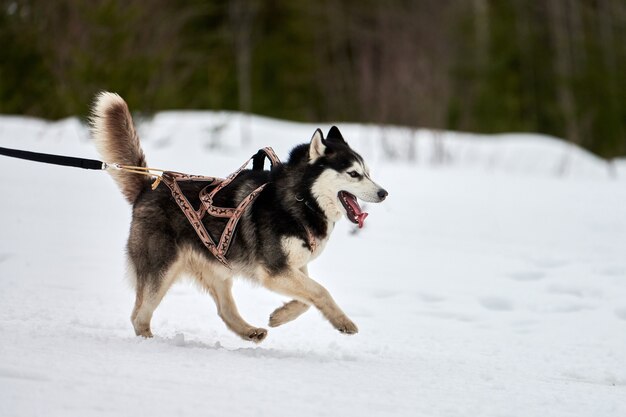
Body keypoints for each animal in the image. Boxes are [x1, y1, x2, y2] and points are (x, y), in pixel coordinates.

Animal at [89, 92, 386, 342]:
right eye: (353, 174)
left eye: (368, 172)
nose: (384, 193)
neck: (301, 199)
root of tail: (149, 185)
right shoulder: (275, 271)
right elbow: (320, 291)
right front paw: (343, 322)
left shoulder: (294, 268)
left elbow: (307, 298)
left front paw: (280, 316)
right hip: (161, 269)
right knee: (139, 316)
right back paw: (149, 341)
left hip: (218, 267)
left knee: (224, 309)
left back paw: (250, 331)